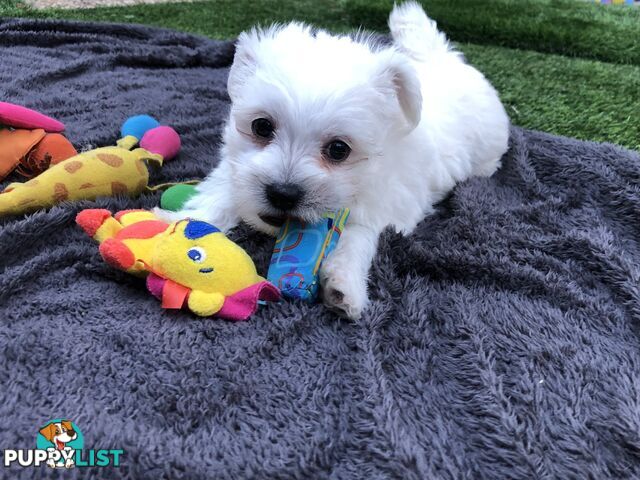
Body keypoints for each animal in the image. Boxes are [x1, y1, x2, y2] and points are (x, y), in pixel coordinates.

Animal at [166, 3, 510, 320]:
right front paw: (178, 222)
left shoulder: (388, 204)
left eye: (338, 149)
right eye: (261, 126)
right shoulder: (235, 166)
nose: (282, 193)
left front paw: (343, 284)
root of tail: (444, 58)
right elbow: (220, 193)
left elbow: (358, 235)